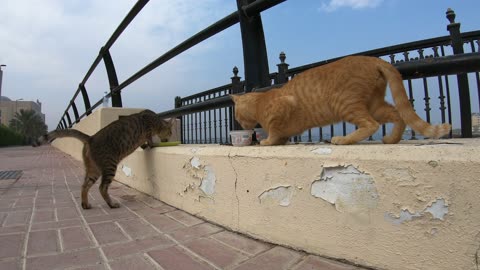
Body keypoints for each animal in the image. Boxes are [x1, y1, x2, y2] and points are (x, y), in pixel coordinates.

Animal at [33, 109, 173, 209]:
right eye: (171, 132)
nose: (169, 137)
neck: (156, 121)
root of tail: (91, 138)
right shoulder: (148, 128)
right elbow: (149, 139)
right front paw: (152, 144)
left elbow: (144, 142)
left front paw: (145, 146)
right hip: (110, 166)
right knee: (102, 187)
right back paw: (111, 204)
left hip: (93, 170)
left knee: (84, 185)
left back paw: (85, 204)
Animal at [231, 55, 452, 146]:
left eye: (237, 116)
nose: (240, 124)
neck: (258, 102)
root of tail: (372, 59)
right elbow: (282, 134)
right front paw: (279, 140)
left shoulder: (283, 106)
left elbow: (274, 129)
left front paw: (268, 141)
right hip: (374, 105)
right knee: (397, 114)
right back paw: (392, 139)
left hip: (344, 104)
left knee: (370, 124)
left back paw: (343, 140)